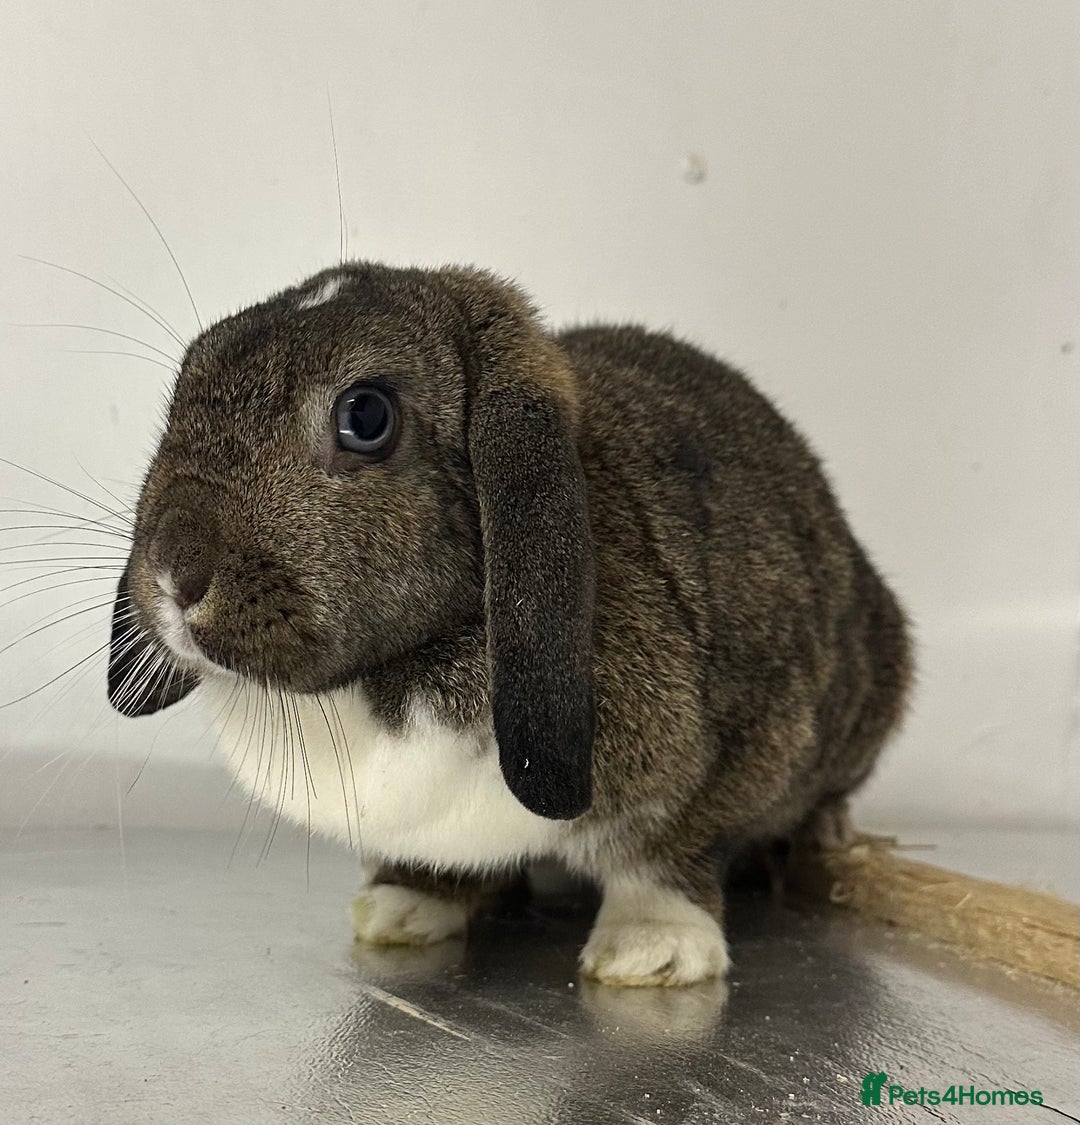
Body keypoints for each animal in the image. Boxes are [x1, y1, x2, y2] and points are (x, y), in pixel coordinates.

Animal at [107, 261, 912, 987]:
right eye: (185, 389)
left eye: (365, 416)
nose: (176, 577)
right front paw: (403, 908)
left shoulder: (751, 737)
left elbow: (670, 850)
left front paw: (652, 950)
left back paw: (827, 836)